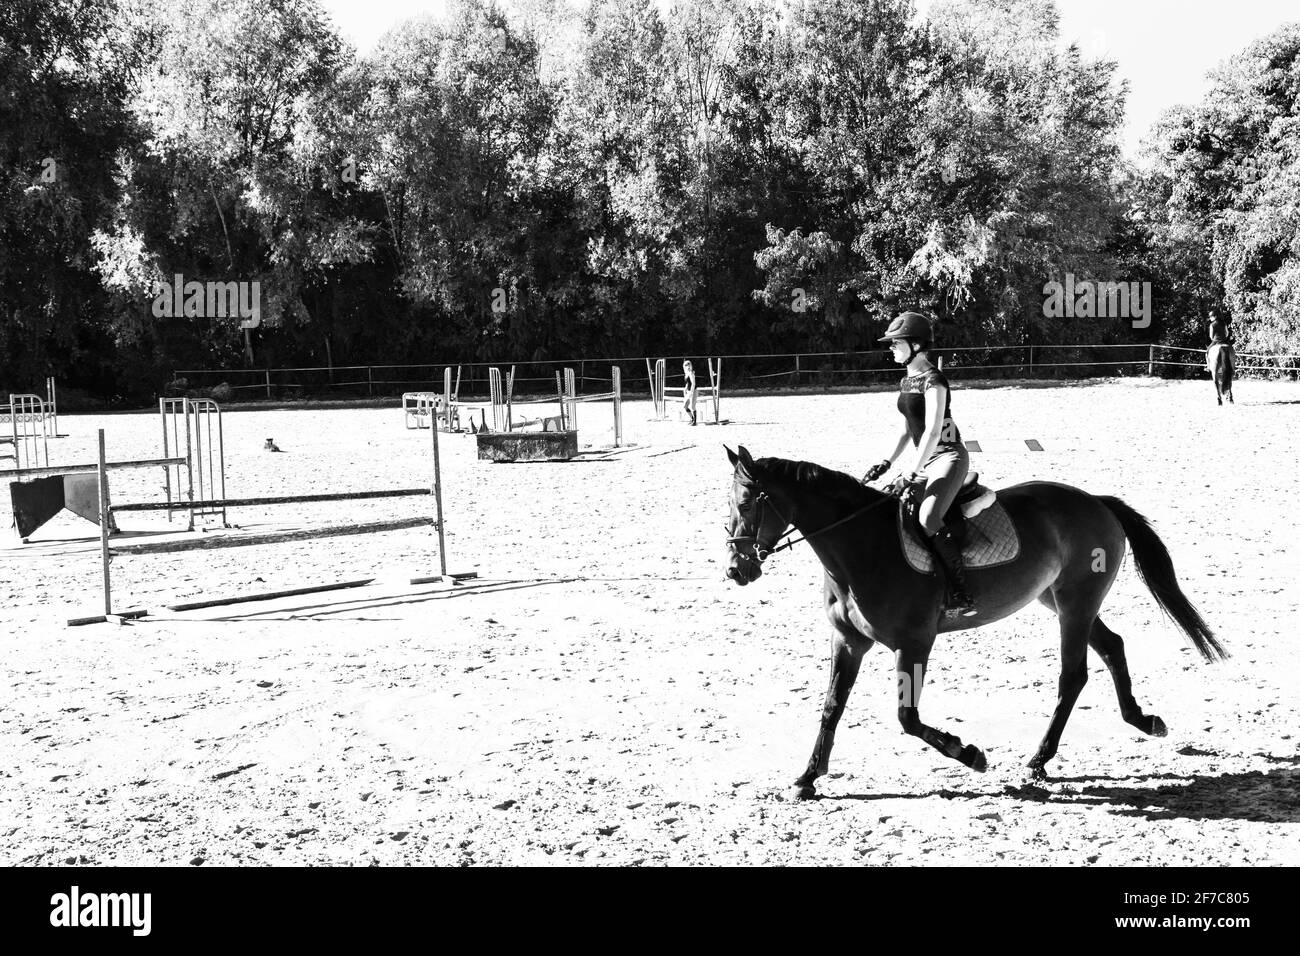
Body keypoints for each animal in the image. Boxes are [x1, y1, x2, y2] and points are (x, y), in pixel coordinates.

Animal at [728, 447, 1222, 801]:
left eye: (747, 503)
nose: (736, 570)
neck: (862, 547)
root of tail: (1095, 502)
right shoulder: (847, 641)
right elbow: (832, 707)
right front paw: (807, 778)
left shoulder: (914, 642)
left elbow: (907, 717)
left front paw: (969, 754)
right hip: (1060, 600)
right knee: (1112, 645)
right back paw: (1143, 720)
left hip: (1076, 602)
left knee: (1073, 675)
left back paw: (1038, 759)